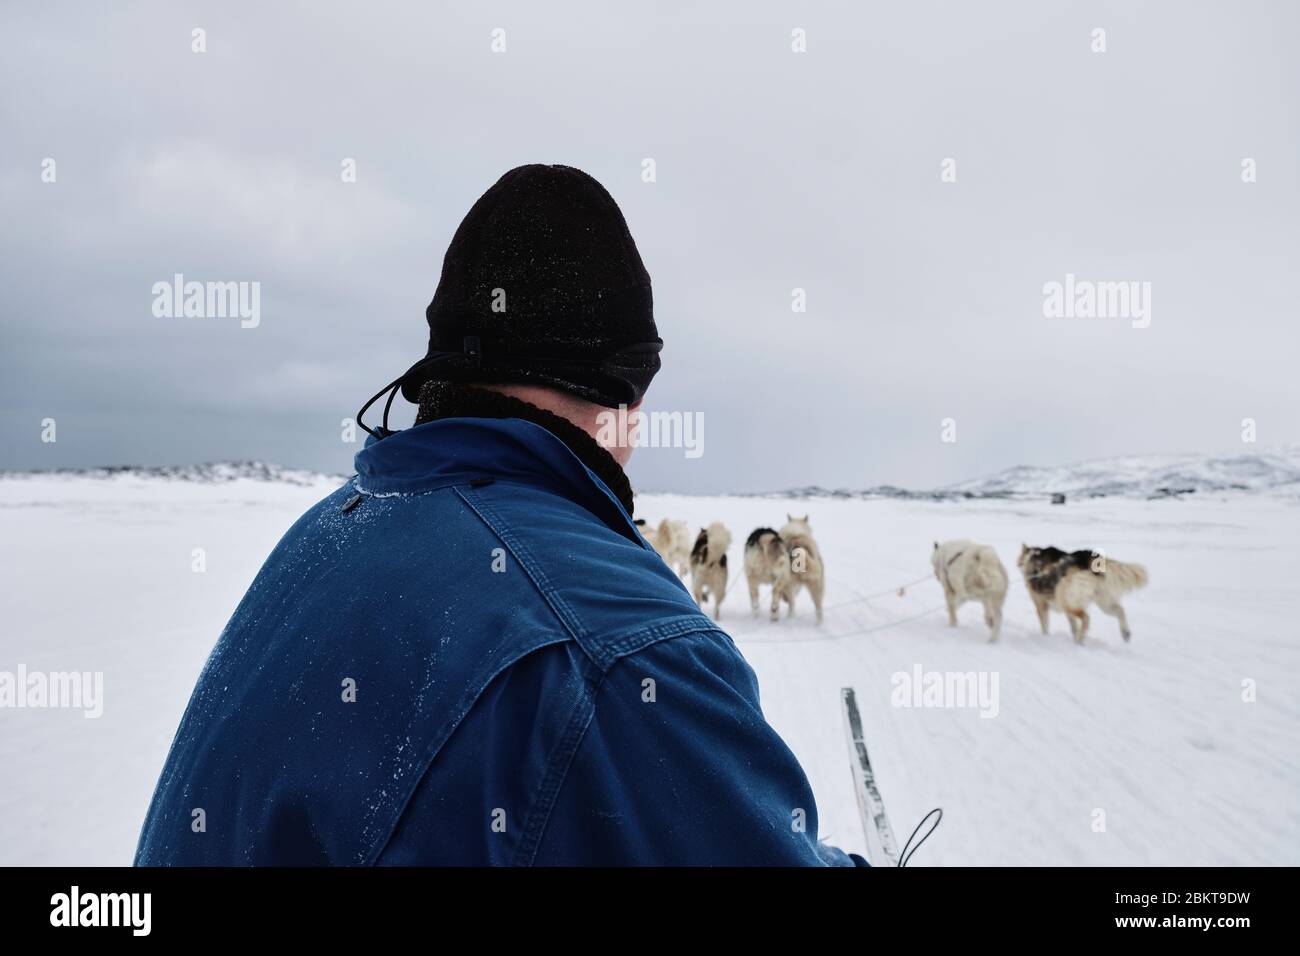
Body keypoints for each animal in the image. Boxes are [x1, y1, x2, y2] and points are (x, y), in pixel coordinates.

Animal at [1013, 546, 1149, 642]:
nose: (1019, 564)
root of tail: (1085, 558)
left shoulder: (1041, 605)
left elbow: (1045, 625)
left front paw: (1045, 637)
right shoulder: (1065, 610)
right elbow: (1073, 626)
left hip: (1068, 600)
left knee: (1086, 618)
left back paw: (1080, 640)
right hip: (1102, 602)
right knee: (1120, 610)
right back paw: (1125, 632)